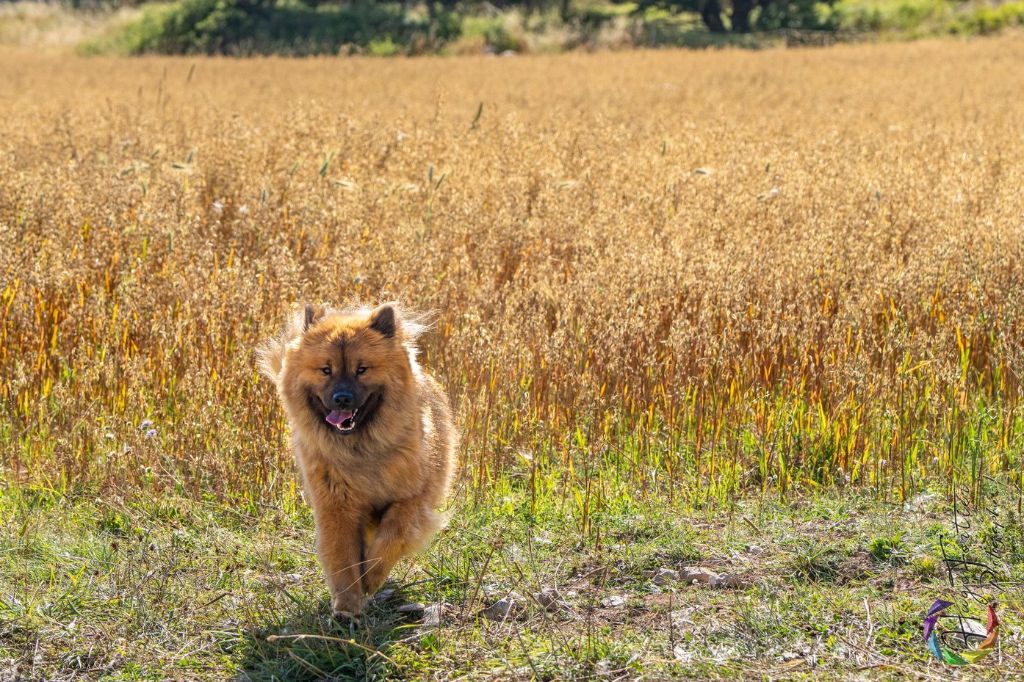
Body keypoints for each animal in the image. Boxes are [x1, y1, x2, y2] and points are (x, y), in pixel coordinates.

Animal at [260, 303, 456, 614]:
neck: (361, 452)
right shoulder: (337, 507)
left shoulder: (413, 498)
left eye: (361, 370)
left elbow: (393, 535)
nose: (342, 398)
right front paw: (347, 609)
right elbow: (342, 560)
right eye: (326, 370)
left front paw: (372, 577)